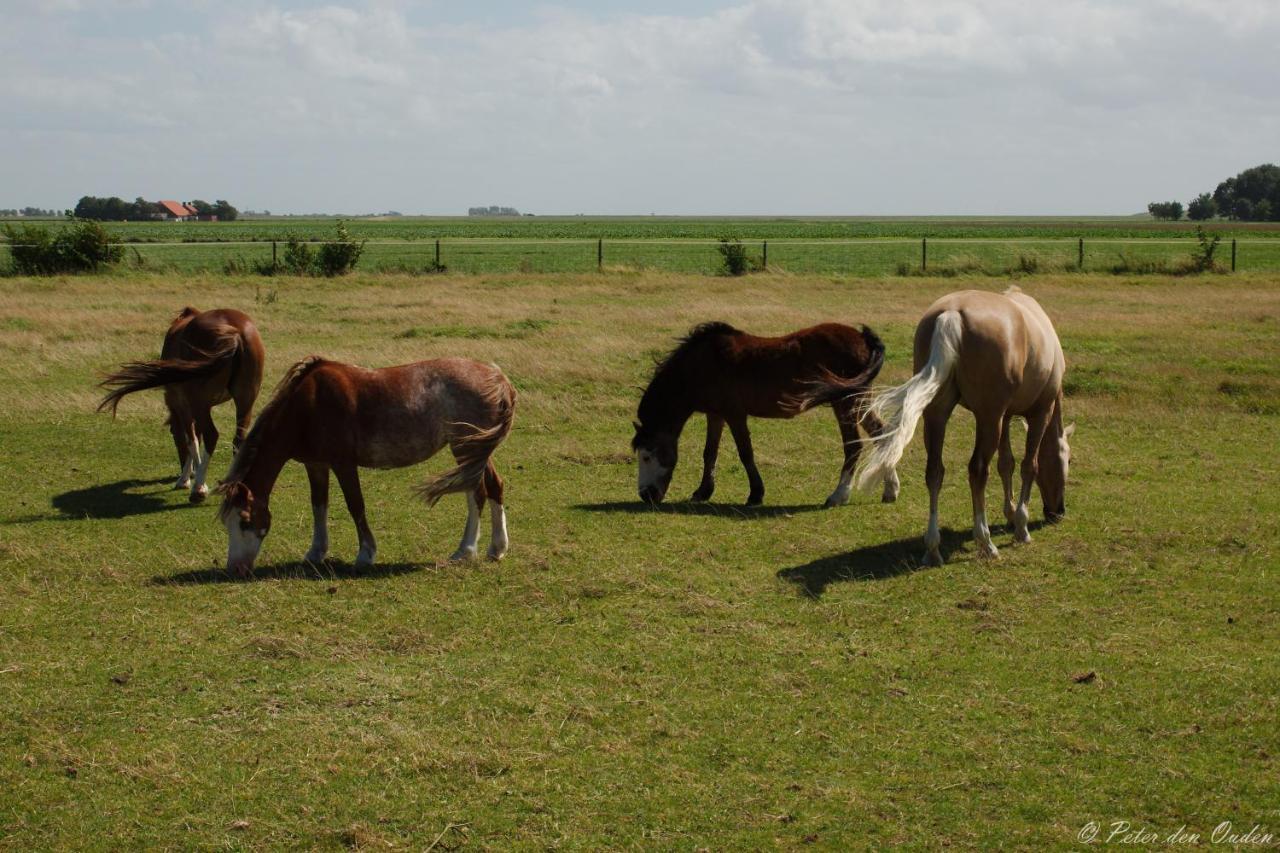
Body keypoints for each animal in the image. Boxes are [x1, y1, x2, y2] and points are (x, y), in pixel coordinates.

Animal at [101, 306, 267, 502]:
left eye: (173, 436)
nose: (183, 473)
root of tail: (234, 333)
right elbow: (196, 436)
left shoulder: (183, 405)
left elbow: (191, 439)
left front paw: (189, 480)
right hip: (244, 401)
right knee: (238, 439)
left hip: (199, 402)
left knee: (211, 435)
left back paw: (198, 489)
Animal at [218, 350, 514, 571]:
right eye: (227, 523)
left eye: (245, 521)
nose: (236, 569)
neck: (308, 406)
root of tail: (497, 379)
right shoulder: (316, 465)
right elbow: (319, 505)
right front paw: (316, 552)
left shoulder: (343, 464)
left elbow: (355, 505)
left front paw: (366, 554)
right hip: (477, 451)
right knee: (494, 487)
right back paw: (496, 549)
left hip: (466, 449)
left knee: (477, 493)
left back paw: (465, 550)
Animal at [632, 318, 901, 504]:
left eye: (646, 456)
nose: (646, 495)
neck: (699, 366)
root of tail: (863, 338)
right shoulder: (716, 415)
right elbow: (709, 453)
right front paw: (703, 492)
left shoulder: (735, 415)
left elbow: (745, 453)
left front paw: (755, 494)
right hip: (860, 401)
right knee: (883, 434)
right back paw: (891, 490)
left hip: (846, 402)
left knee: (854, 446)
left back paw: (838, 495)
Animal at [808, 286, 1070, 563]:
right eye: (1067, 461)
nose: (1058, 512)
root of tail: (952, 315)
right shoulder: (1038, 413)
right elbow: (1028, 466)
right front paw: (1021, 526)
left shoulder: (1006, 416)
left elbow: (1006, 463)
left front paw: (1009, 513)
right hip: (988, 417)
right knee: (977, 470)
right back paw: (985, 542)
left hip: (938, 414)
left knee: (934, 472)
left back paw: (933, 548)